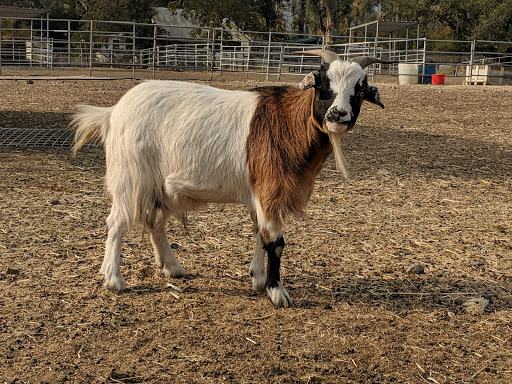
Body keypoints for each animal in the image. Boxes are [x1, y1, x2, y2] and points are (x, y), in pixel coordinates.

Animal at [72, 50, 392, 308]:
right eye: (323, 84)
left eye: (359, 91)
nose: (338, 115)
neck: (289, 123)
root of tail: (113, 112)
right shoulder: (270, 189)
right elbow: (275, 241)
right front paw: (277, 292)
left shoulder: (261, 194)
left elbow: (260, 234)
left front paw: (258, 278)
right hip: (130, 177)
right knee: (117, 223)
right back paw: (114, 279)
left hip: (160, 186)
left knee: (155, 223)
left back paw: (172, 267)